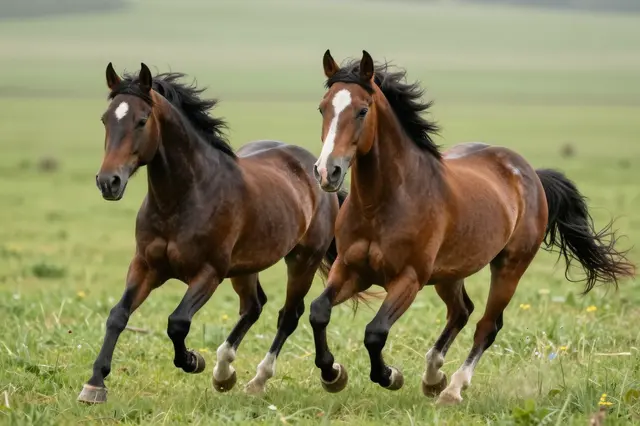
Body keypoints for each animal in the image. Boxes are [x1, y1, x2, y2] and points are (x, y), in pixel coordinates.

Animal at [77, 62, 348, 403]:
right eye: (105, 119)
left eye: (141, 120)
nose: (108, 182)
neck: (181, 200)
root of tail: (316, 169)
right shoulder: (146, 266)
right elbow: (117, 315)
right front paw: (94, 384)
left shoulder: (208, 273)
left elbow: (177, 322)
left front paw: (192, 360)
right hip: (245, 268)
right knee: (254, 306)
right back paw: (224, 372)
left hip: (302, 260)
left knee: (289, 314)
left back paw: (293, 377)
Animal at [308, 50, 635, 405]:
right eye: (322, 108)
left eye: (362, 110)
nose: (327, 172)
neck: (381, 204)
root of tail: (529, 172)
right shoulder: (351, 269)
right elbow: (318, 311)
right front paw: (332, 374)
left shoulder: (408, 278)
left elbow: (375, 332)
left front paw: (390, 376)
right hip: (449, 274)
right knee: (462, 311)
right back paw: (433, 378)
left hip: (509, 268)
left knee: (486, 325)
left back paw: (452, 389)